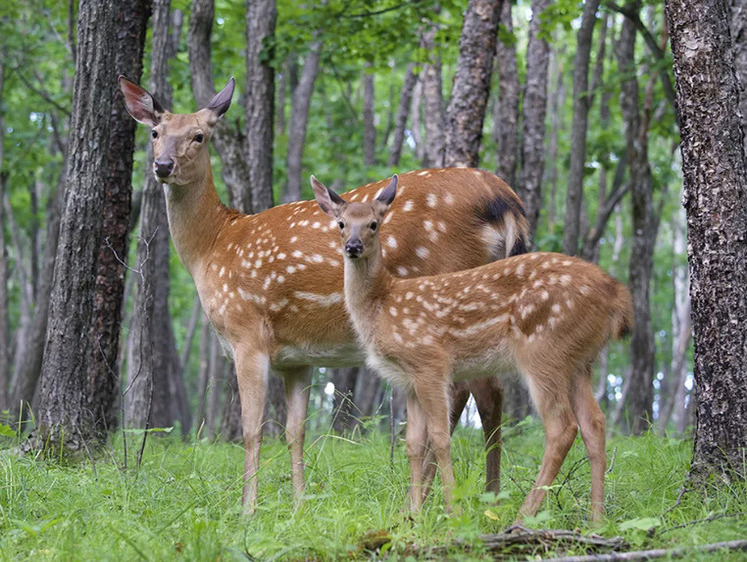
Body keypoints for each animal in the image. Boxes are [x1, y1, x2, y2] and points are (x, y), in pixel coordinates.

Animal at [120, 76, 528, 510]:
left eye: (199, 136)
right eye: (155, 132)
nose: (163, 166)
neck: (212, 247)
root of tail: (505, 200)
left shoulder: (246, 330)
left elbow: (251, 429)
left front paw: (248, 508)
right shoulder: (296, 357)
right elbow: (294, 431)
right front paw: (299, 503)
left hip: (448, 300)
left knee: (473, 394)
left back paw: (445, 501)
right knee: (489, 392)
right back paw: (485, 496)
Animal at [312, 175, 636, 520]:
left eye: (373, 224)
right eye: (341, 223)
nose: (353, 247)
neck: (382, 304)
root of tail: (617, 297)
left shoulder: (429, 361)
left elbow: (440, 438)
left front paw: (452, 510)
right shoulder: (408, 380)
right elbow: (412, 443)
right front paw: (413, 516)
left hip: (544, 350)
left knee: (562, 428)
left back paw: (523, 516)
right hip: (579, 361)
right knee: (594, 423)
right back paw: (596, 518)